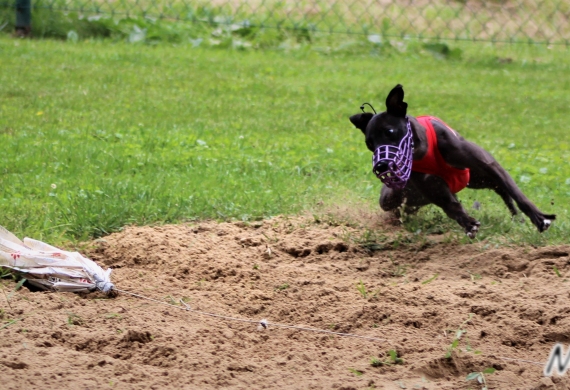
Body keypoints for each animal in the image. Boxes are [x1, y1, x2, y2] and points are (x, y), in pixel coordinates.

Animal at [348, 84, 552, 238]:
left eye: (389, 131)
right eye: (369, 144)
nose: (381, 165)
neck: (423, 151)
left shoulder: (489, 165)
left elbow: (516, 192)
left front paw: (538, 217)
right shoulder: (432, 188)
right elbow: (451, 206)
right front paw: (468, 223)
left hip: (478, 177)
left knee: (502, 190)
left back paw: (518, 217)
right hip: (397, 197)